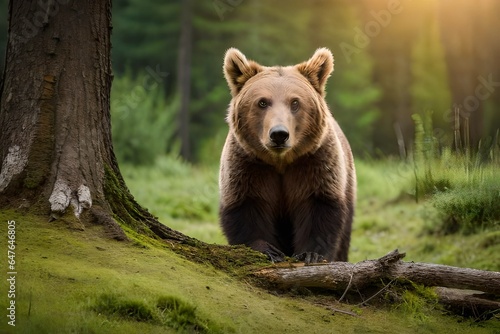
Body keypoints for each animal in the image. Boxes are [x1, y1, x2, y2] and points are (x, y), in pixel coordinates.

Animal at [219, 48, 356, 264]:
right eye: (262, 102)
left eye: (295, 102)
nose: (279, 134)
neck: (280, 162)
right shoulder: (248, 165)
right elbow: (246, 208)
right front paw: (267, 250)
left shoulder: (315, 163)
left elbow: (319, 207)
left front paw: (310, 253)